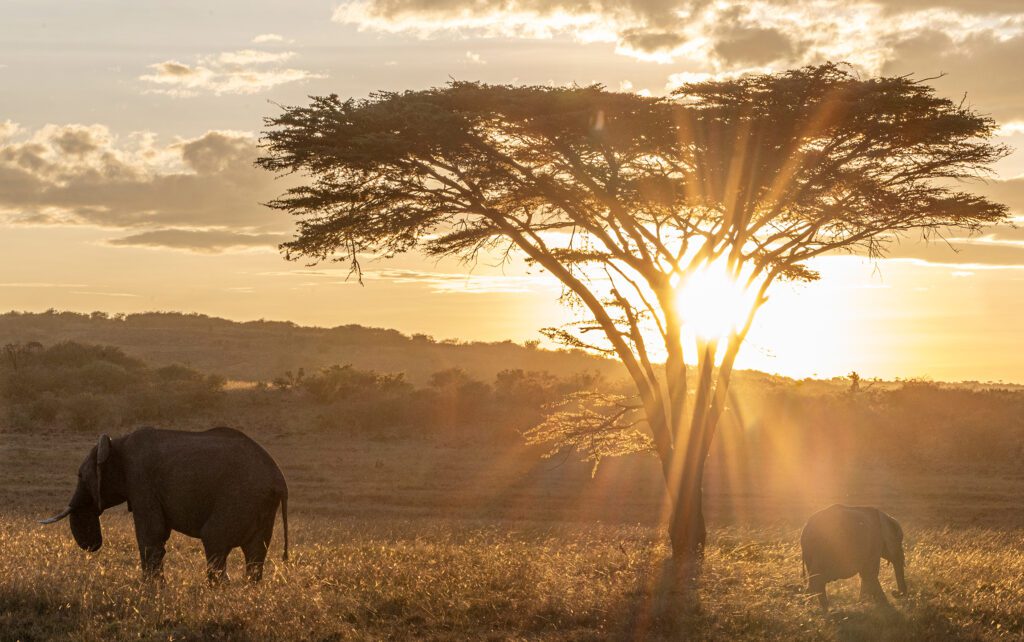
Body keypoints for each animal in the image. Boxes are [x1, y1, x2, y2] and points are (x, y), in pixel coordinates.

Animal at [40, 427, 289, 583]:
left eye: (80, 476)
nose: (92, 546)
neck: (116, 442)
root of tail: (279, 479)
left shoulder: (141, 480)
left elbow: (151, 532)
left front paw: (151, 589)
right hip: (261, 507)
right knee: (255, 553)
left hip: (239, 498)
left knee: (214, 540)